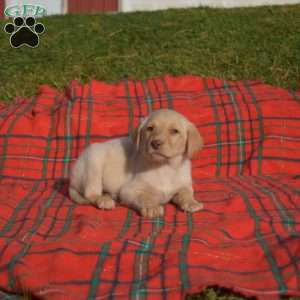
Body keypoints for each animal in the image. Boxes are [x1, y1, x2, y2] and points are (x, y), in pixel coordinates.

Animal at [69, 109, 204, 217]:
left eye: (175, 131)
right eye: (150, 128)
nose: (155, 143)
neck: (165, 166)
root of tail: (71, 180)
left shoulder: (184, 185)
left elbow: (186, 193)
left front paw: (192, 202)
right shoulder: (128, 190)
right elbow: (144, 197)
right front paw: (152, 207)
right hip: (94, 159)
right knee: (91, 193)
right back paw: (104, 200)